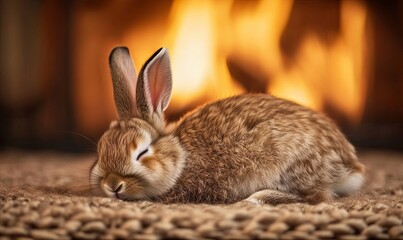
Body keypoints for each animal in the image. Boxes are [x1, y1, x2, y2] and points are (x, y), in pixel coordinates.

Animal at [90, 47, 368, 204]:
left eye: (142, 152)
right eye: (100, 151)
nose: (113, 186)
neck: (181, 156)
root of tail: (351, 166)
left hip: (290, 165)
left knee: (317, 196)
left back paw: (255, 199)